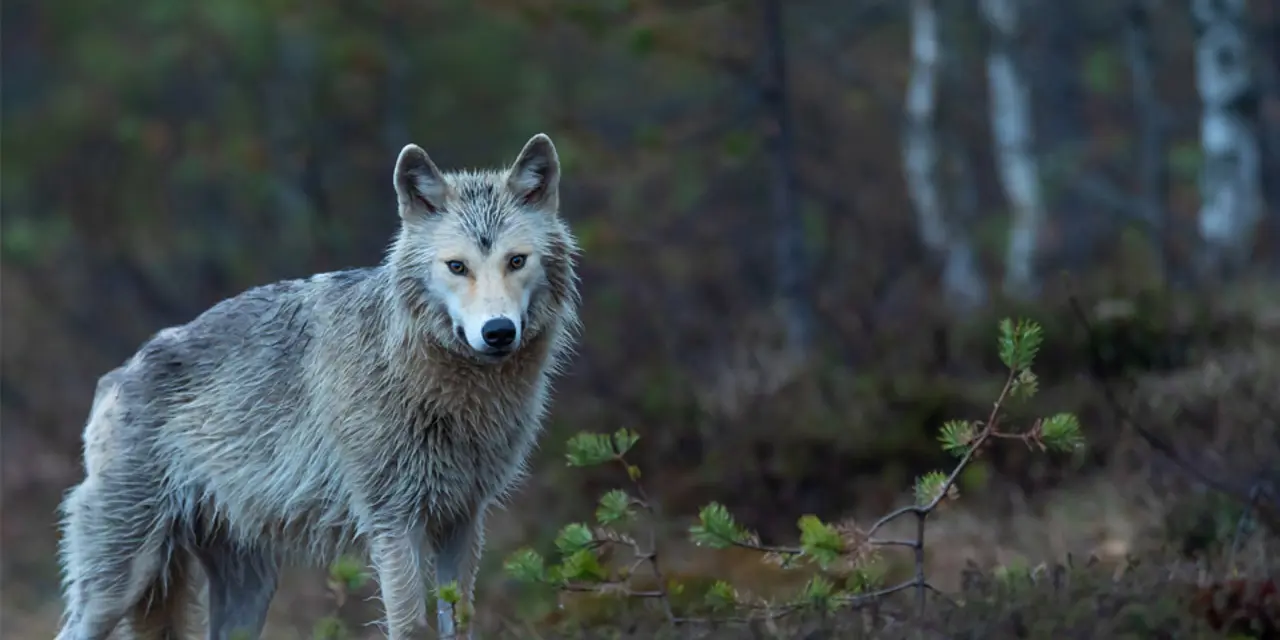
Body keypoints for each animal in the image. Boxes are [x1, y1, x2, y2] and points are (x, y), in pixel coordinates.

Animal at [55, 133, 581, 640]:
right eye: (457, 266)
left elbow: (461, 621)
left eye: (516, 261)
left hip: (249, 589)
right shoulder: (392, 521)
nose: (498, 332)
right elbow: (411, 626)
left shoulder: (463, 520)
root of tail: (117, 374)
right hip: (119, 583)